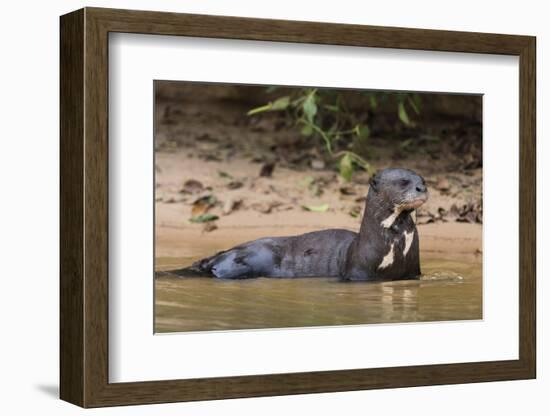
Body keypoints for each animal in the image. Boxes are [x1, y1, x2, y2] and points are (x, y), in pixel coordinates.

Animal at [172, 167, 432, 282]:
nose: (422, 188)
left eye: (423, 179)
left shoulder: (414, 271)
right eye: (403, 182)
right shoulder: (358, 273)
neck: (395, 247)